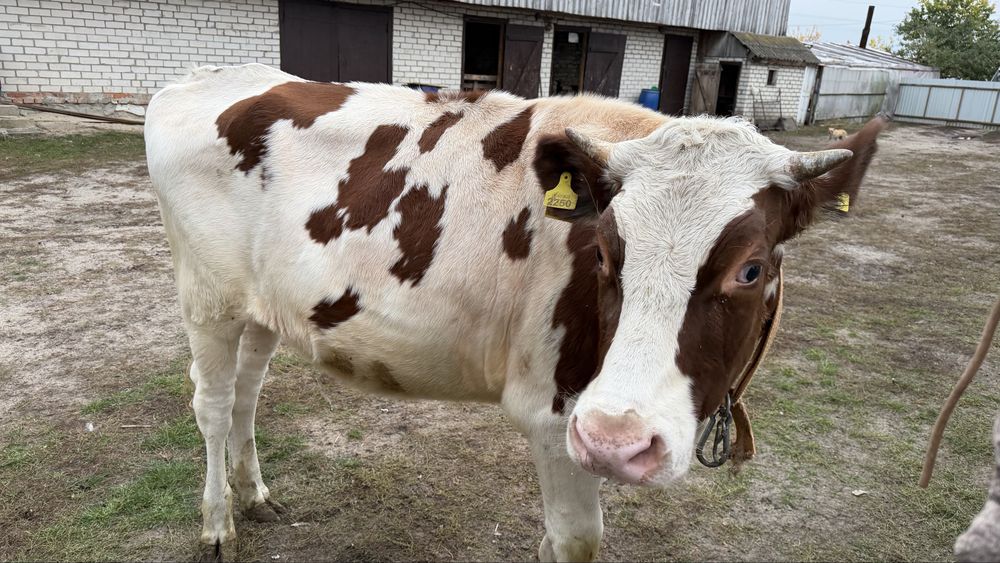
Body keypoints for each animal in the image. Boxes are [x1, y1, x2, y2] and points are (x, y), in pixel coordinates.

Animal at [144, 63, 885, 562]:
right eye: (604, 253)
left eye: (752, 269)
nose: (620, 440)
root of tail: (210, 77)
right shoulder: (557, 416)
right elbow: (576, 541)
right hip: (206, 295)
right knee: (213, 404)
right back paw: (218, 523)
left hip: (261, 304)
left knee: (247, 393)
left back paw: (255, 494)